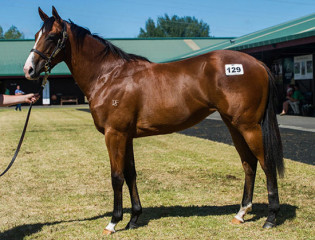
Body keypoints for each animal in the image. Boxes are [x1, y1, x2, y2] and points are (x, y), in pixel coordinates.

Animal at [23, 6, 286, 233]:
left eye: (53, 36)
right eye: (36, 35)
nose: (28, 70)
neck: (109, 76)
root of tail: (257, 63)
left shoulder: (114, 134)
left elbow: (116, 176)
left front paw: (113, 222)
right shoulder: (126, 136)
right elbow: (131, 174)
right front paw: (134, 218)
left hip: (249, 127)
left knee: (266, 164)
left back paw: (271, 218)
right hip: (234, 125)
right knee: (249, 164)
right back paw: (240, 214)